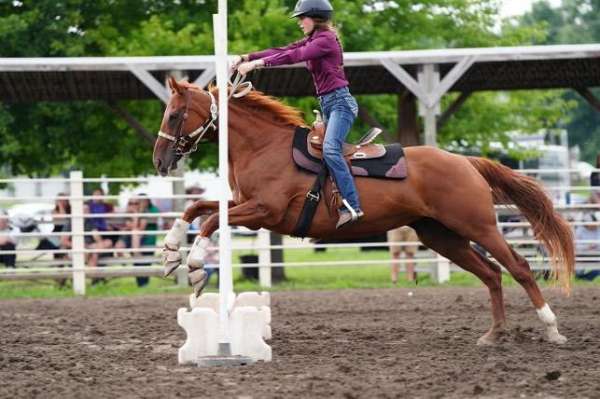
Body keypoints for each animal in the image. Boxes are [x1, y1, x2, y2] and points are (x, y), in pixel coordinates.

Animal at [152, 79, 576, 346]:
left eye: (173, 115)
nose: (159, 160)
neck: (265, 147)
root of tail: (465, 162)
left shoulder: (263, 212)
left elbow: (209, 219)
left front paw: (194, 265)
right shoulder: (243, 205)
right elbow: (197, 206)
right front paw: (171, 251)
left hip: (478, 225)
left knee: (518, 266)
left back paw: (552, 328)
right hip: (440, 235)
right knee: (490, 274)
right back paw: (495, 333)